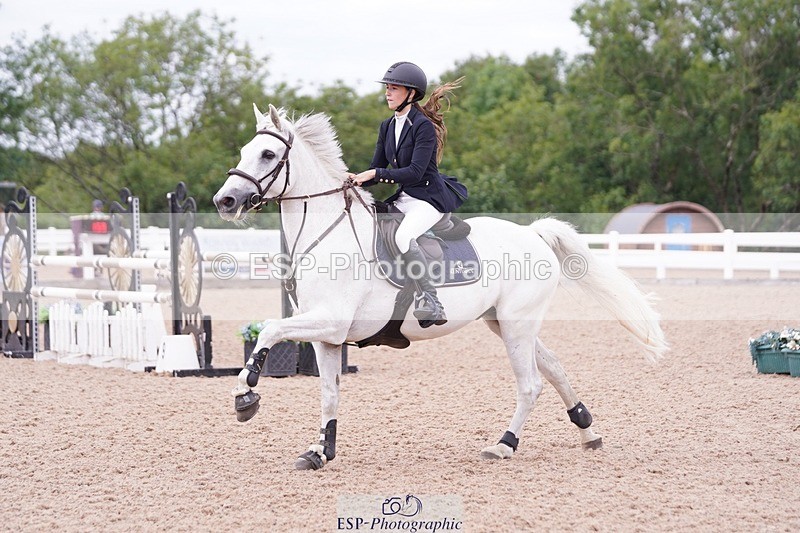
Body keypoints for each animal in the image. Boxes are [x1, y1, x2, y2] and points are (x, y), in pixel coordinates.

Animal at [213, 104, 668, 470]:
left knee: (530, 384)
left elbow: (270, 329)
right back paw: (587, 430)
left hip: (517, 324)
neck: (328, 232)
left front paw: (245, 395)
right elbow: (328, 394)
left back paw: (504, 445)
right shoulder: (328, 335)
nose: (225, 202)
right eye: (244, 151)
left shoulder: (329, 321)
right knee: (554, 367)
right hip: (504, 322)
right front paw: (319, 452)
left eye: (268, 154)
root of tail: (533, 233)